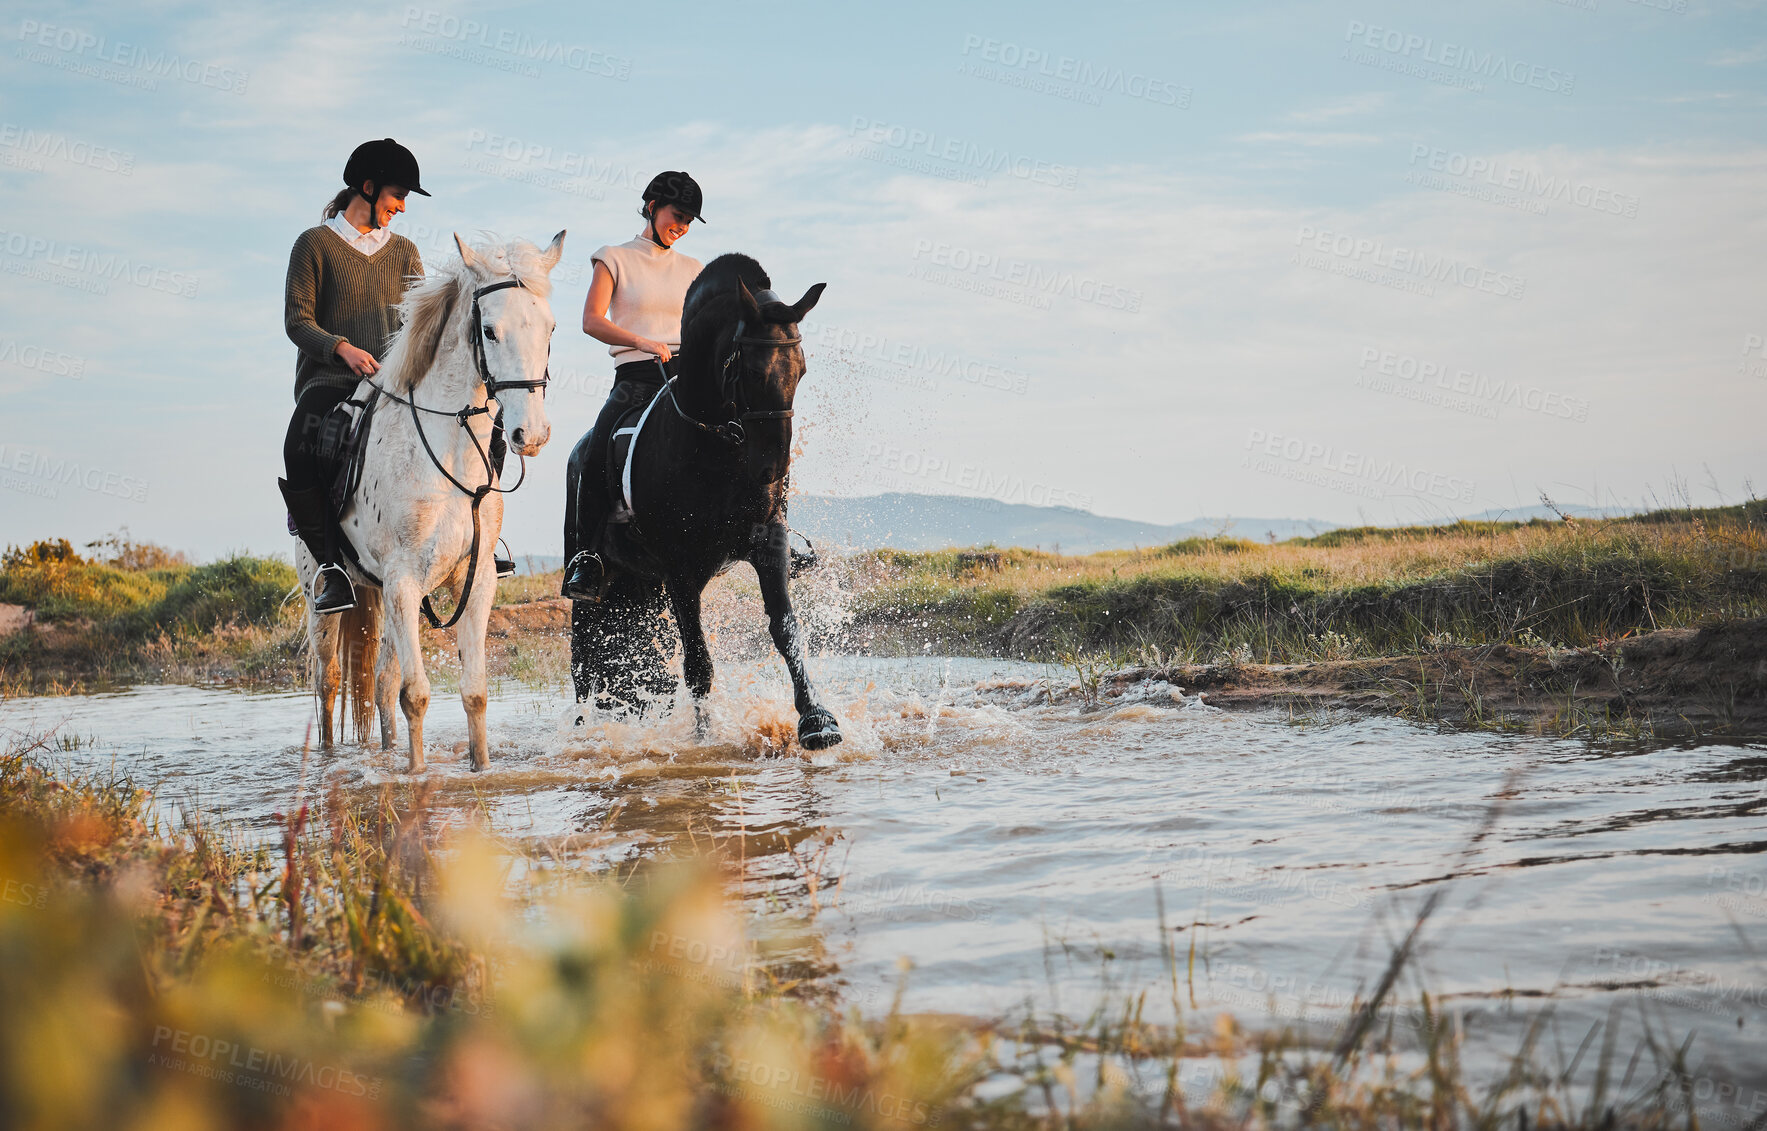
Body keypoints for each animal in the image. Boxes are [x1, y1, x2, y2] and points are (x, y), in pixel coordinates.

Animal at [295, 233, 558, 774]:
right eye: (489, 330)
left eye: (549, 328)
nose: (531, 434)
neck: (449, 452)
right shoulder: (402, 581)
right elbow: (415, 695)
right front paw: (416, 779)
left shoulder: (473, 582)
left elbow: (473, 692)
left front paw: (479, 770)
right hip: (323, 598)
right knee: (328, 683)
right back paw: (331, 762)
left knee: (379, 682)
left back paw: (387, 751)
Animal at [565, 254, 841, 749]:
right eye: (749, 371)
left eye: (801, 370)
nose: (773, 473)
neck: (712, 448)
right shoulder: (680, 569)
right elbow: (697, 663)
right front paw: (702, 741)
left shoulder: (768, 543)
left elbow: (786, 629)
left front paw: (817, 720)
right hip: (597, 580)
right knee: (583, 658)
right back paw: (582, 734)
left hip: (644, 585)